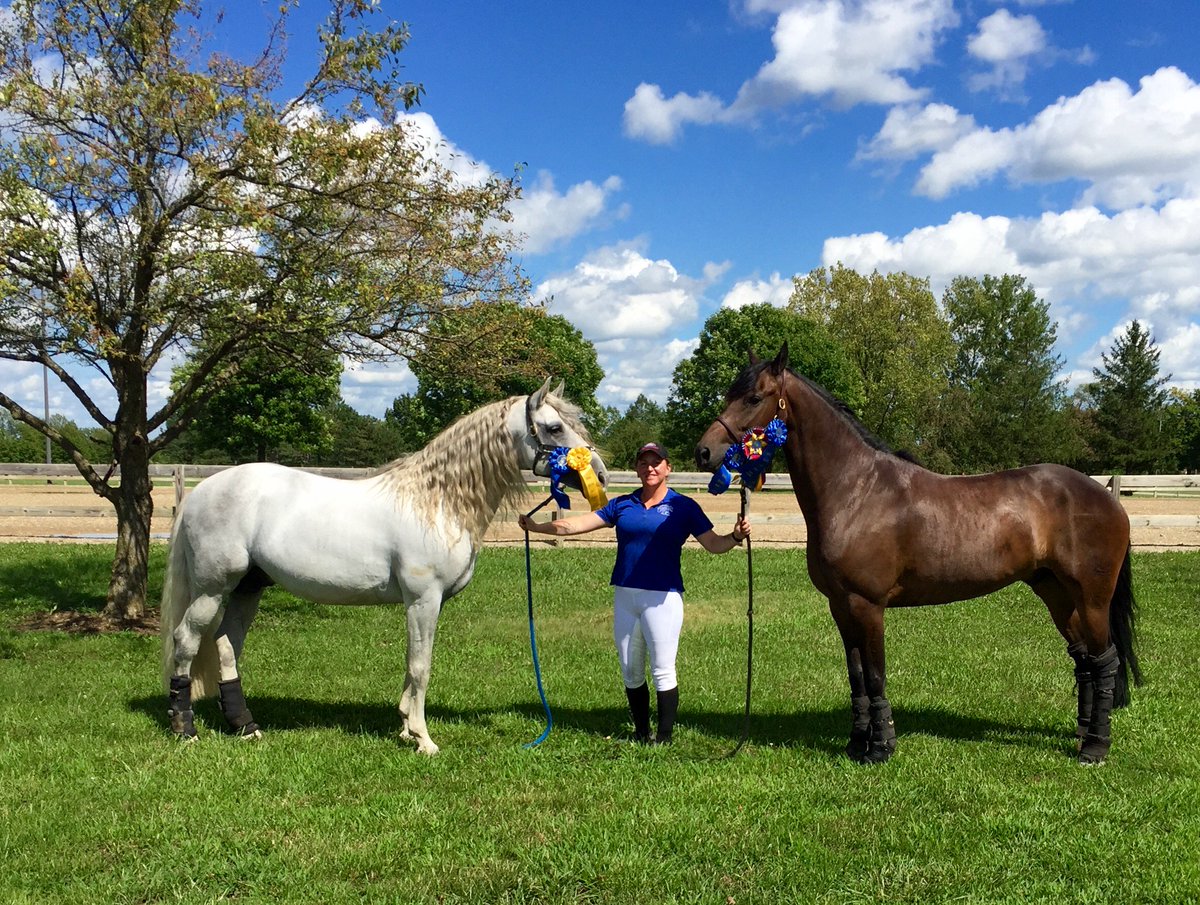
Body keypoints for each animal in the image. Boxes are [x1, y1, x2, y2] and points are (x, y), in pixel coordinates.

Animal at [160, 379, 607, 755]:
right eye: (553, 428)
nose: (600, 474)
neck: (437, 503)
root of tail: (202, 491)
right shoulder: (423, 599)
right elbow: (421, 665)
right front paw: (424, 740)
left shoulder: (426, 603)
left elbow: (414, 664)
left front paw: (406, 727)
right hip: (212, 588)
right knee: (186, 641)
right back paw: (186, 729)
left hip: (247, 588)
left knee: (226, 644)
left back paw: (245, 727)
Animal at [695, 345, 1141, 765]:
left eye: (754, 397)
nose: (704, 453)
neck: (856, 489)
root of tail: (1107, 498)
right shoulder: (841, 606)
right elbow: (856, 677)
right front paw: (856, 743)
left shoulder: (868, 605)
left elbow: (875, 676)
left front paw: (880, 749)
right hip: (1055, 592)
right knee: (1084, 661)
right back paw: (1082, 734)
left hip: (1092, 597)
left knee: (1104, 661)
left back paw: (1095, 747)